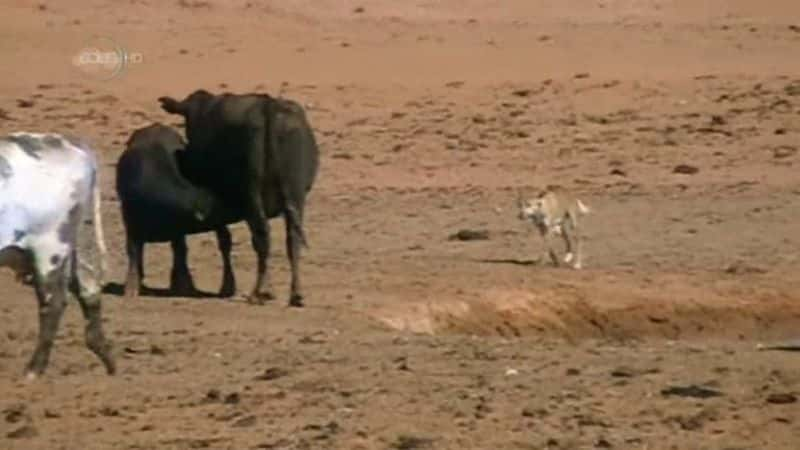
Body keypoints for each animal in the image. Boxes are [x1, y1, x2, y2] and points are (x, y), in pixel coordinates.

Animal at [0, 132, 115, 378]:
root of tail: (66, 141)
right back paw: (107, 359)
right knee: (88, 285)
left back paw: (33, 370)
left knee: (53, 303)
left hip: (49, 248)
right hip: (66, 247)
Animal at [115, 123, 239, 298]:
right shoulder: (130, 219)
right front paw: (132, 286)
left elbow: (180, 252)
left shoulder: (178, 230)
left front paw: (184, 284)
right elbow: (133, 250)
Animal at [156, 89, 318, 308]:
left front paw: (227, 286)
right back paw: (295, 294)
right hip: (296, 194)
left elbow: (225, 240)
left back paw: (261, 292)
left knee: (262, 237)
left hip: (252, 194)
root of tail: (268, 106)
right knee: (292, 238)